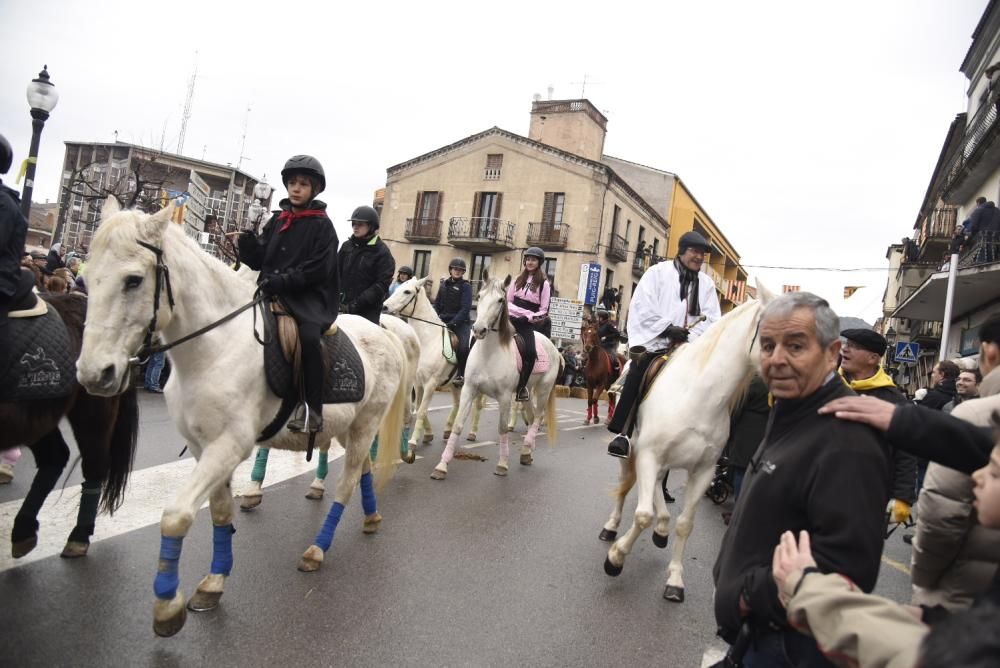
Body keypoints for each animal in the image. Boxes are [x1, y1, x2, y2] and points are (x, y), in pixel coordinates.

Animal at [0, 292, 139, 560]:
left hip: (91, 412)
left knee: (93, 465)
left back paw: (78, 536)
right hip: (39, 417)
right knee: (56, 456)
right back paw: (24, 531)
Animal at [74, 200, 410, 636]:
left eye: (133, 280)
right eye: (87, 275)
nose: (93, 374)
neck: (214, 347)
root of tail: (385, 333)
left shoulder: (229, 446)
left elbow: (176, 516)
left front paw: (167, 606)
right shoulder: (203, 448)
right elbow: (219, 512)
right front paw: (213, 583)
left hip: (365, 425)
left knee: (347, 482)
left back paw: (318, 549)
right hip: (347, 429)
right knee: (364, 470)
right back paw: (371, 518)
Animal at [434, 272, 568, 480]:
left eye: (500, 300)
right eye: (479, 296)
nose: (479, 329)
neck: (489, 354)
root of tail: (554, 347)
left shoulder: (504, 397)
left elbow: (502, 428)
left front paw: (502, 464)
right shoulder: (469, 389)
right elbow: (457, 425)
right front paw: (441, 466)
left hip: (544, 389)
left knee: (538, 416)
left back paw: (527, 446)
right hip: (526, 390)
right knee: (531, 416)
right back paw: (526, 453)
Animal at [596, 290, 768, 604]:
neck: (699, 397)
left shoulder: (703, 471)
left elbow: (685, 523)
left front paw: (675, 580)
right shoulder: (648, 454)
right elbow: (642, 515)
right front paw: (615, 558)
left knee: (655, 488)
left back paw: (662, 528)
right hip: (633, 452)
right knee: (625, 488)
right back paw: (611, 527)